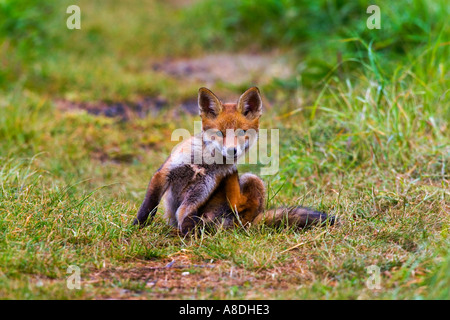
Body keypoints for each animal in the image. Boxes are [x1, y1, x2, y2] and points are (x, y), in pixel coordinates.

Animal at [132, 86, 332, 234]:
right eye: (220, 133)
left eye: (241, 133)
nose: (232, 151)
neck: (205, 163)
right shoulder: (165, 173)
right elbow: (149, 205)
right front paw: (137, 226)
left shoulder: (202, 188)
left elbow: (185, 211)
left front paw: (188, 231)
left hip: (252, 180)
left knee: (239, 205)